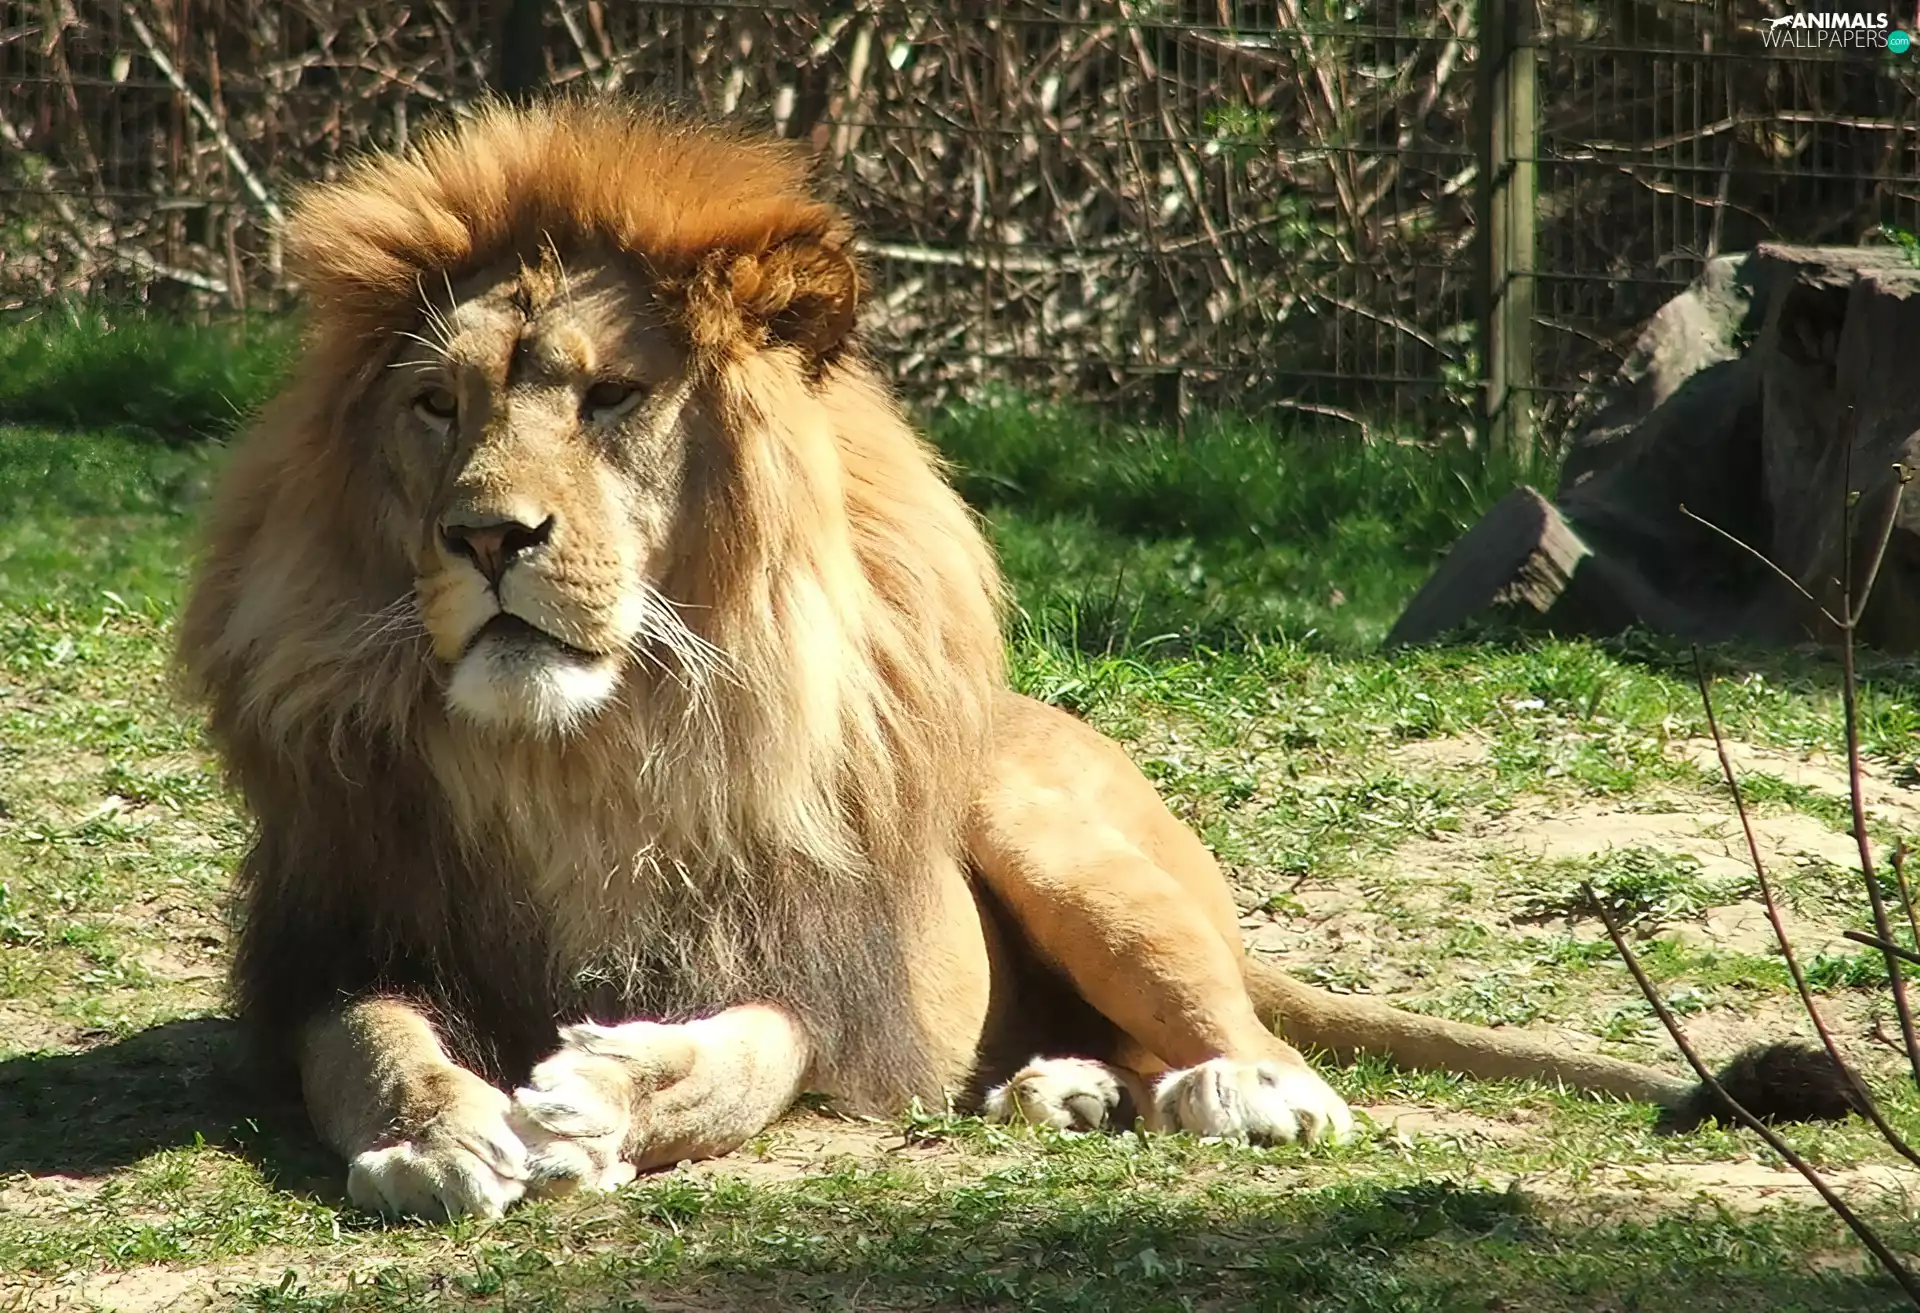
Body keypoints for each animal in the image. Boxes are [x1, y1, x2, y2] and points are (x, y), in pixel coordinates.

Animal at [176, 100, 1853, 1220]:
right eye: (438, 409)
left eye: (611, 399)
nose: (486, 536)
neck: (578, 751)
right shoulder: (344, 940)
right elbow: (371, 1046)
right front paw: (445, 1134)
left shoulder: (810, 964)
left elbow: (743, 1055)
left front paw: (596, 1096)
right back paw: (1067, 1088)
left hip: (1062, 843)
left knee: (1257, 1036)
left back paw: (1242, 1096)